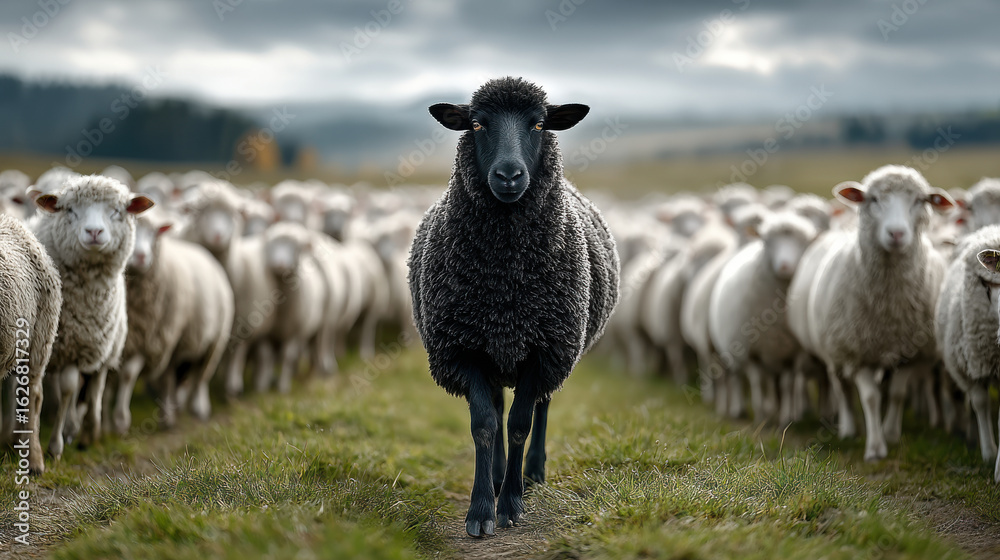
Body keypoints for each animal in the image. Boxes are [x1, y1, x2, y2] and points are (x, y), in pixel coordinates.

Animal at [30, 175, 154, 458]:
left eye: (117, 211)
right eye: (70, 210)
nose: (94, 232)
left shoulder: (80, 346)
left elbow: (70, 389)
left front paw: (59, 443)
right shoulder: (59, 345)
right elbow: (60, 390)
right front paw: (55, 444)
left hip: (105, 347)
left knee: (92, 387)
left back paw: (86, 430)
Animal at [110, 207, 234, 433]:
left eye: (154, 234)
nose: (141, 256)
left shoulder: (153, 340)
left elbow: (129, 375)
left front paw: (122, 421)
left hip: (213, 342)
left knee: (199, 377)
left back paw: (198, 407)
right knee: (180, 377)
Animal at [409, 77, 619, 537]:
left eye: (538, 123)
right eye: (476, 123)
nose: (508, 175)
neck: (505, 282)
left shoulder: (545, 349)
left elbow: (521, 424)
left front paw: (510, 504)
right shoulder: (463, 349)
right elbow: (485, 426)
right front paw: (481, 508)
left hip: (555, 349)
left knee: (541, 405)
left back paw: (531, 473)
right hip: (496, 355)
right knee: (499, 409)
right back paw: (500, 473)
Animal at [708, 212, 818, 425]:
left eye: (805, 243)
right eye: (767, 242)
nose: (785, 266)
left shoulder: (793, 354)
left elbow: (787, 384)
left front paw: (785, 419)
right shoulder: (753, 352)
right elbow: (757, 382)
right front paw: (759, 417)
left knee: (775, 383)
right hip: (733, 347)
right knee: (736, 377)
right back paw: (739, 410)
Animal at [808, 165, 954, 461]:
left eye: (920, 200)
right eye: (873, 199)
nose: (896, 234)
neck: (889, 309)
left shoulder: (912, 354)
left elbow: (897, 394)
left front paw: (891, 434)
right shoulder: (858, 352)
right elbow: (870, 398)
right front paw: (875, 448)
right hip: (835, 349)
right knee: (842, 388)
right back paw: (848, 428)